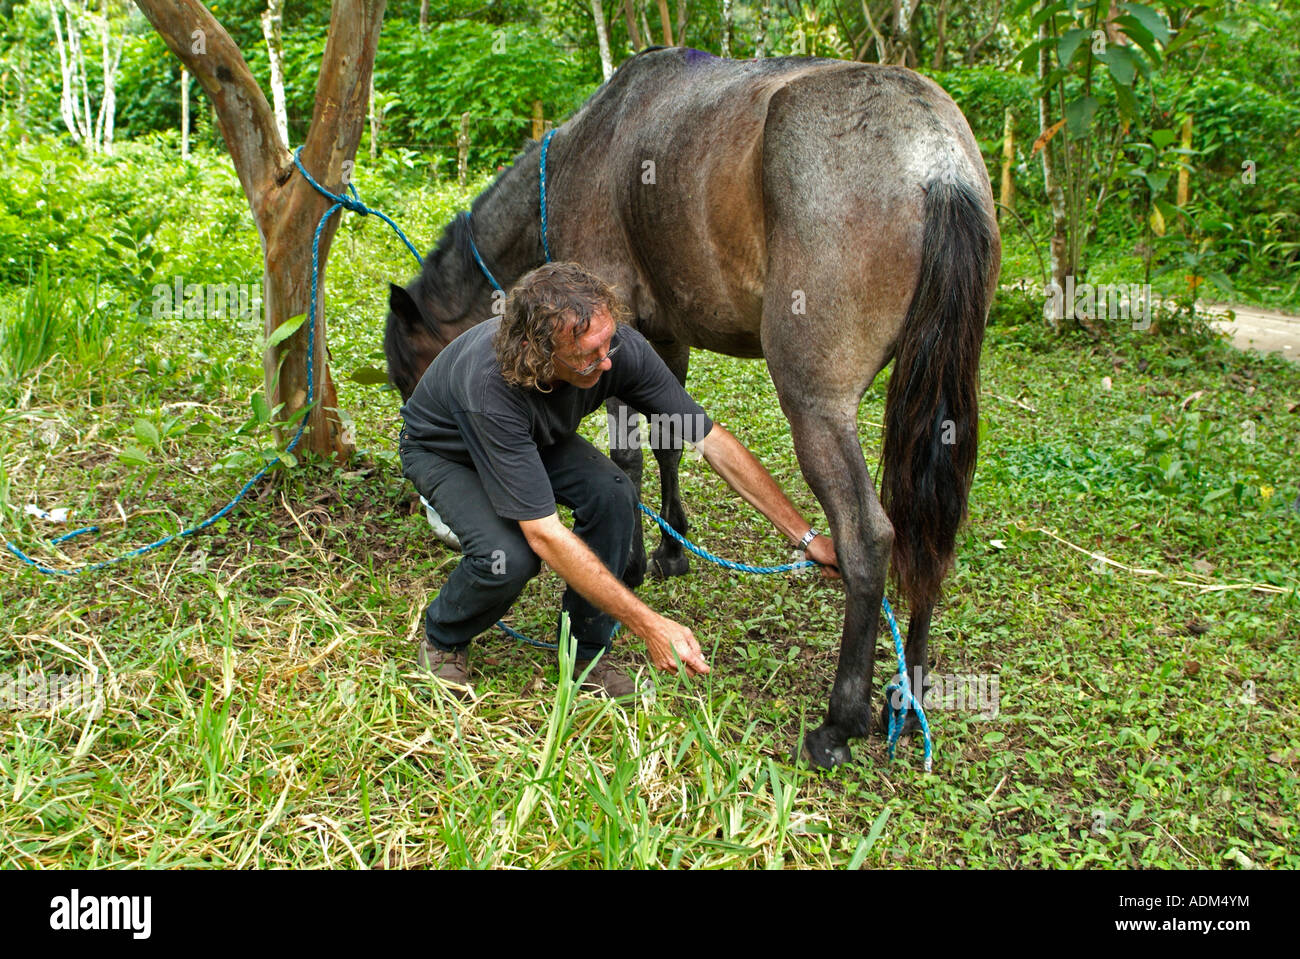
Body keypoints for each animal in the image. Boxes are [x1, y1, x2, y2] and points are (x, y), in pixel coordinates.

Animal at [379, 46, 998, 769]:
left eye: (408, 377)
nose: (442, 521)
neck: (589, 145)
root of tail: (935, 160)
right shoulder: (662, 339)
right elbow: (670, 439)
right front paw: (672, 550)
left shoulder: (616, 325)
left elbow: (627, 457)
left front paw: (633, 566)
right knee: (928, 536)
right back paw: (909, 692)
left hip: (817, 406)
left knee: (869, 538)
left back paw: (839, 722)